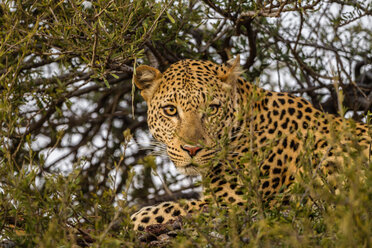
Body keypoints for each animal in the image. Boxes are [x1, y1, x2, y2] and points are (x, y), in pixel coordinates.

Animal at [130, 55, 370, 232]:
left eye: (212, 109)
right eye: (170, 110)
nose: (192, 149)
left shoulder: (235, 202)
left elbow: (156, 213)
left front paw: (133, 218)